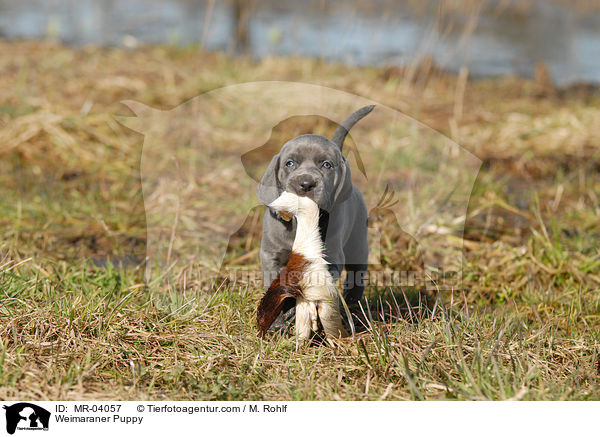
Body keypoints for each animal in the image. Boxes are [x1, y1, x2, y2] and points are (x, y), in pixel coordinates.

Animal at [255, 105, 372, 330]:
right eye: (290, 163)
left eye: (326, 165)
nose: (306, 183)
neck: (300, 223)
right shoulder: (271, 255)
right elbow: (275, 285)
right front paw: (278, 322)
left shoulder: (331, 259)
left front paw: (293, 309)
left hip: (358, 244)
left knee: (357, 274)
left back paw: (353, 304)